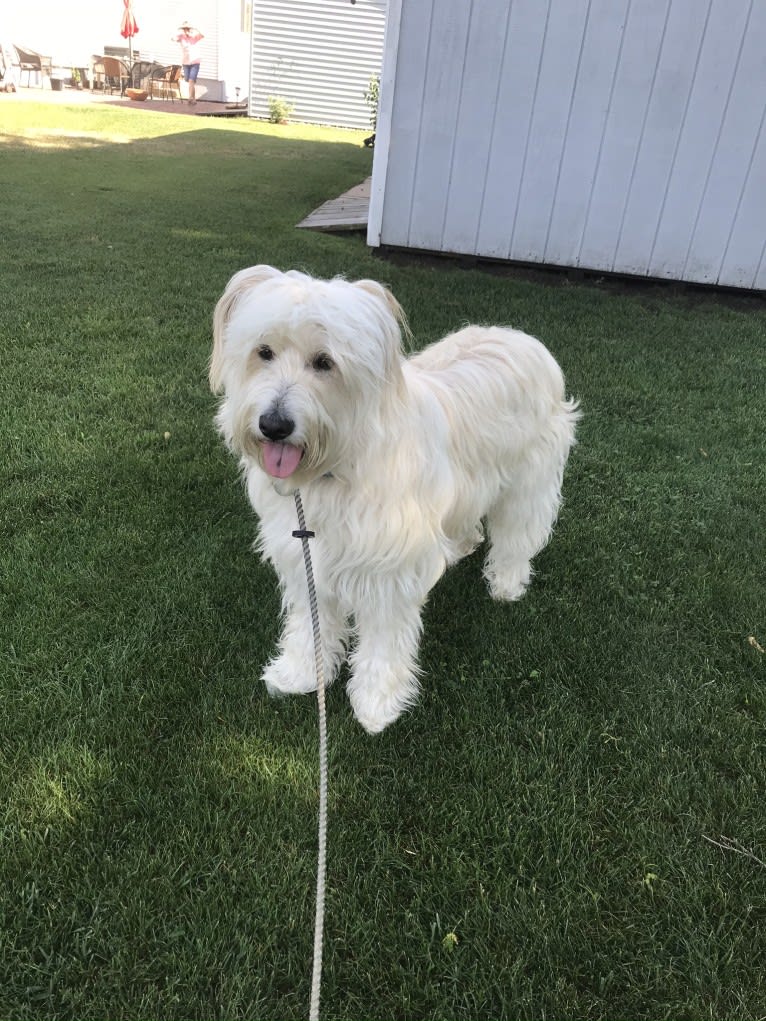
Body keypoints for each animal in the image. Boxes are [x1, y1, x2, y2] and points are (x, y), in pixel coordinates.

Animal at [211, 263, 580, 735]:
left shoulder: (388, 573)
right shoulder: (305, 558)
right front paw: (299, 674)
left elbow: (383, 643)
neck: (335, 468)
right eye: (264, 352)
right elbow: (310, 625)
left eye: (325, 362)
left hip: (527, 484)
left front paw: (376, 702)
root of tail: (521, 337)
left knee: (518, 535)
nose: (274, 425)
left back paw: (506, 583)